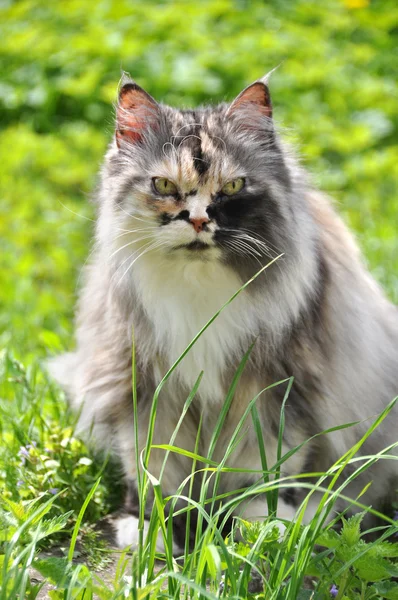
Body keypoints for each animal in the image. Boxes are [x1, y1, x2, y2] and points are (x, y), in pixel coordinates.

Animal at [49, 74, 398, 548]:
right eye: (163, 186)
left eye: (232, 188)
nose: (197, 220)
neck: (198, 286)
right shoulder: (146, 388)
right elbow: (152, 466)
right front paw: (150, 527)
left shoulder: (274, 389)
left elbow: (268, 468)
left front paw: (264, 524)